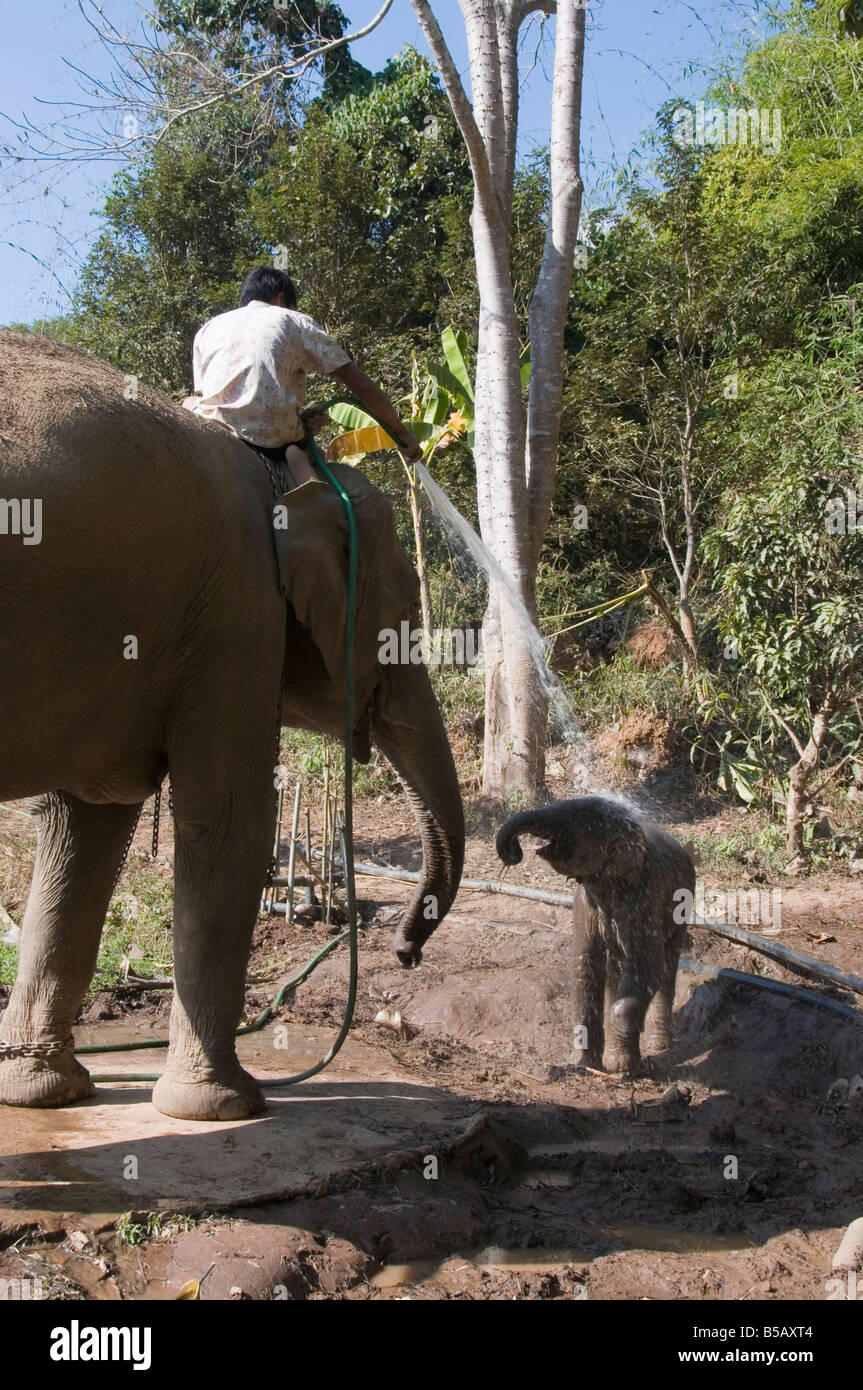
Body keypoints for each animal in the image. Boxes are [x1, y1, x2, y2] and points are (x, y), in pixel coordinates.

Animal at [0, 330, 464, 1123]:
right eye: (404, 609)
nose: (405, 953)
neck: (291, 476)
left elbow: (83, 821)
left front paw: (42, 1095)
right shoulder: (237, 613)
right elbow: (230, 818)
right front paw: (224, 1107)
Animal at [494, 795, 689, 1073]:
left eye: (584, 819)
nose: (514, 851)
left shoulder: (647, 898)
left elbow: (649, 966)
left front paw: (617, 1065)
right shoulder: (584, 903)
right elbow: (584, 964)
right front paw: (583, 1064)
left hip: (682, 908)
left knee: (667, 966)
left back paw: (658, 1046)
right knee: (616, 970)